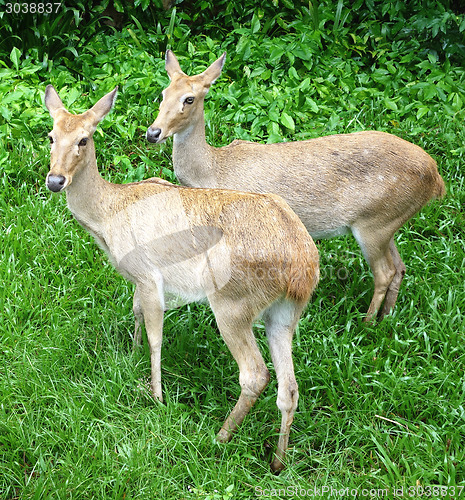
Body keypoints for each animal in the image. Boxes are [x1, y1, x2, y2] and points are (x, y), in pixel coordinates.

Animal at [43, 84, 320, 470]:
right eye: (51, 136)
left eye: (84, 139)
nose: (55, 180)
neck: (108, 214)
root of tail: (303, 267)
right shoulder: (140, 281)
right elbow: (136, 312)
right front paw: (131, 357)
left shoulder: (148, 274)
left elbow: (156, 335)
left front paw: (156, 396)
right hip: (285, 313)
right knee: (289, 387)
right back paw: (277, 461)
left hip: (232, 301)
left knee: (255, 374)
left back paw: (220, 436)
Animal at [147, 50, 444, 322]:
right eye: (163, 93)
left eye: (189, 98)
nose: (153, 132)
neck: (212, 170)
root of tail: (436, 178)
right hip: (388, 221)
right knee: (400, 267)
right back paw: (386, 317)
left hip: (374, 222)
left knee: (385, 272)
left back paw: (367, 322)